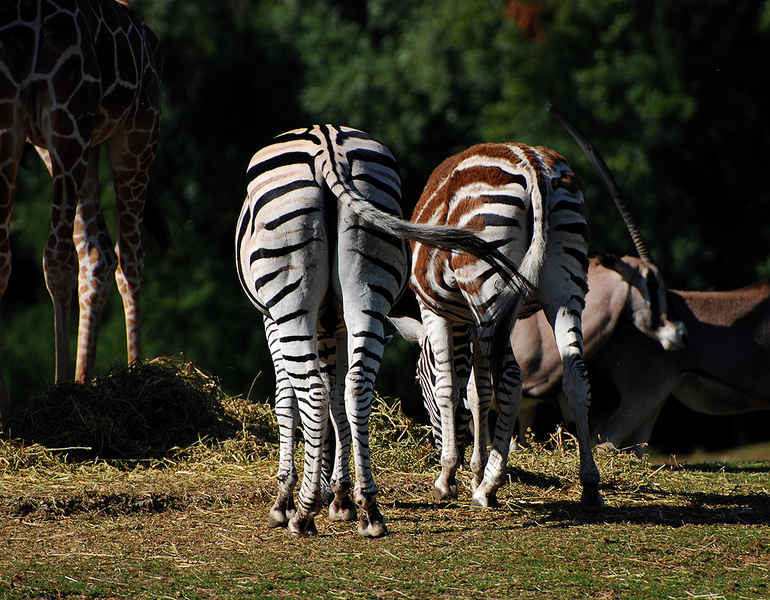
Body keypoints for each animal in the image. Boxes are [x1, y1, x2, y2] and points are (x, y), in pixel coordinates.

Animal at [237, 124, 532, 536]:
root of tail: (325, 140)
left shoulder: (272, 319)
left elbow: (288, 401)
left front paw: (289, 500)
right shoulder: (335, 326)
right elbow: (337, 399)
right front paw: (340, 495)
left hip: (289, 299)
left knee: (313, 391)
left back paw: (304, 513)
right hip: (370, 291)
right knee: (357, 386)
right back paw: (369, 511)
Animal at [392, 141, 604, 510]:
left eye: (419, 379)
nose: (436, 443)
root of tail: (533, 164)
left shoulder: (436, 311)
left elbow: (450, 387)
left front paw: (449, 477)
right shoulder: (479, 323)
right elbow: (478, 391)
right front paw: (474, 470)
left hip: (489, 282)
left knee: (512, 378)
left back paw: (489, 487)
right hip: (564, 293)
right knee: (576, 377)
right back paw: (589, 485)